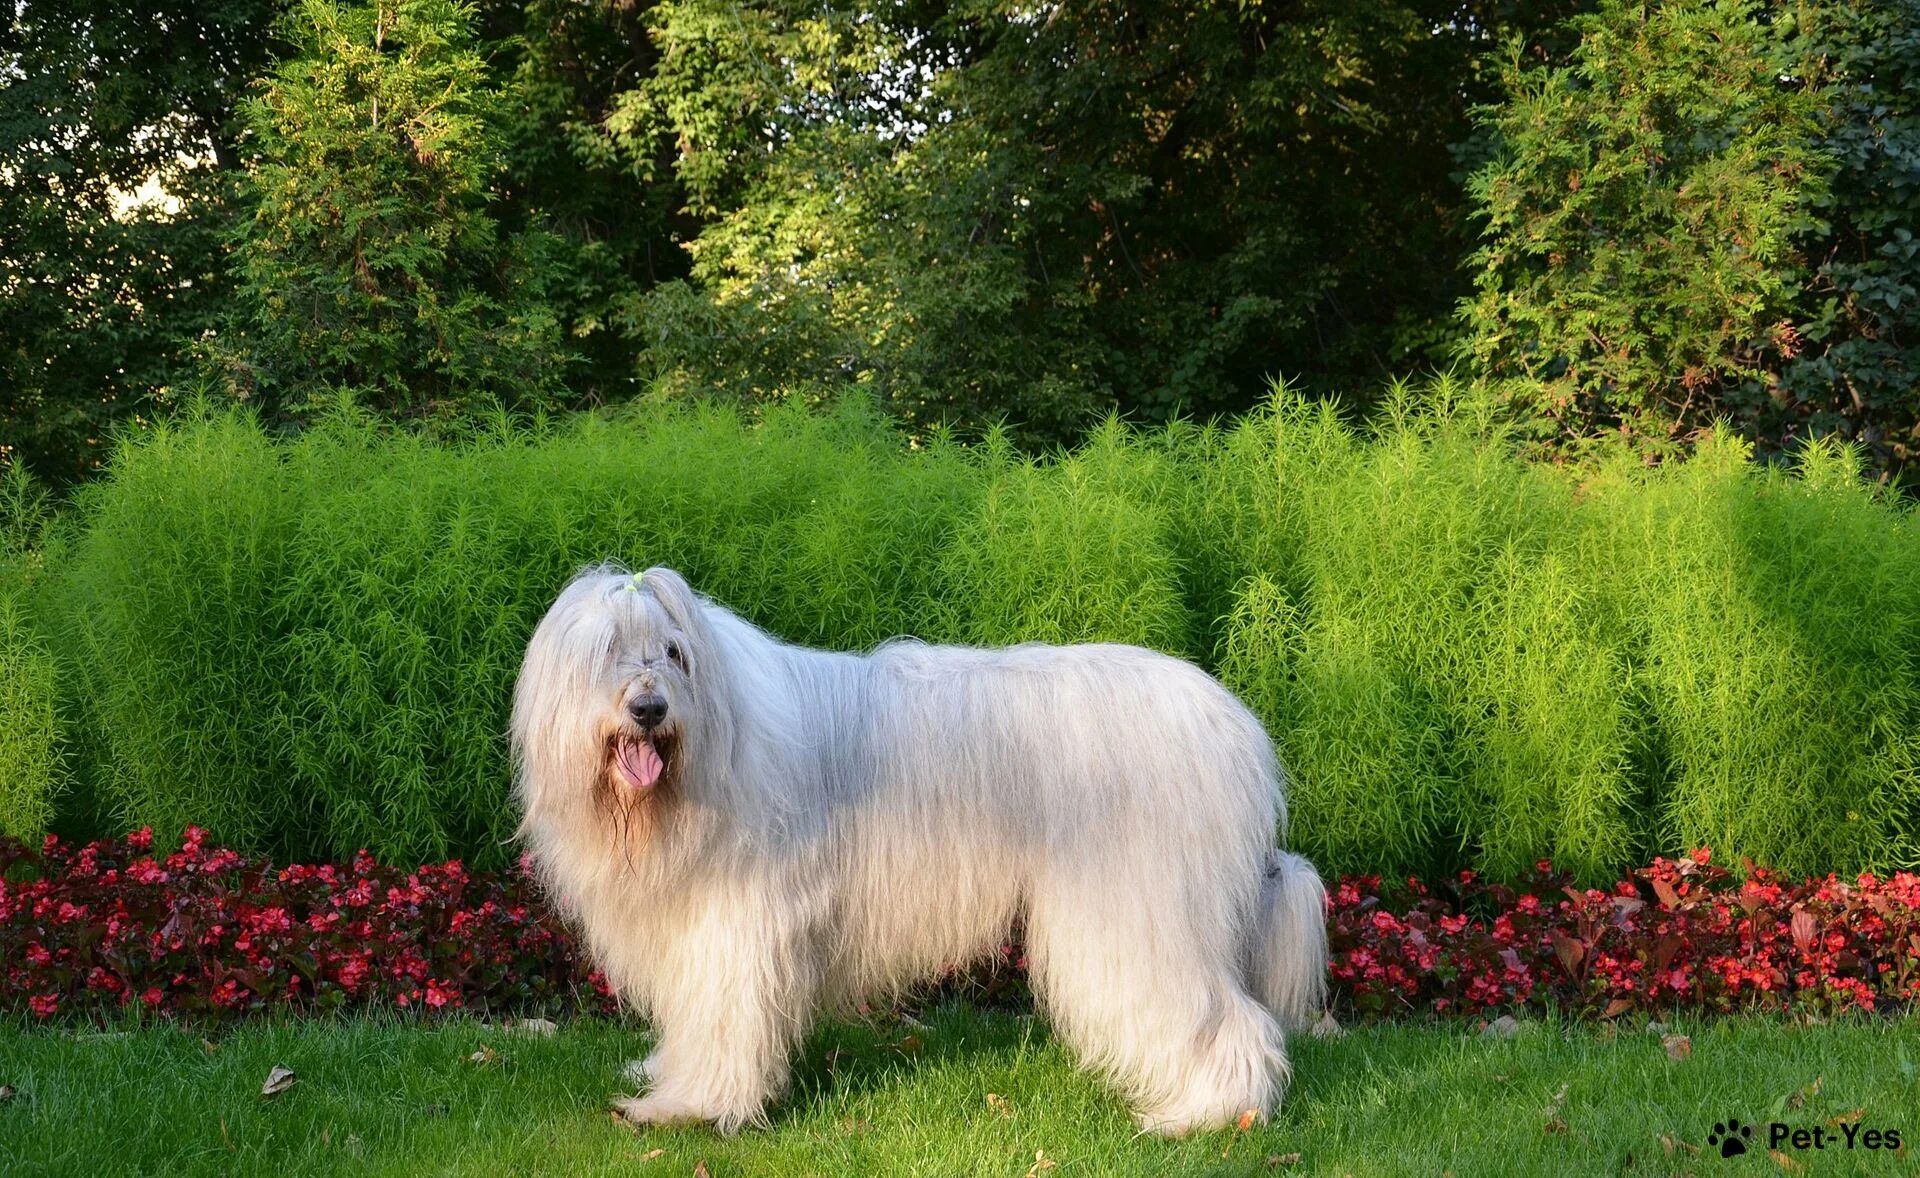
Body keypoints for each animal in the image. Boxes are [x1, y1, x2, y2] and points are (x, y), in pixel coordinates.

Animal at [510, 567, 1328, 1143]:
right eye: (608, 652)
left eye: (675, 652)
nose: (649, 708)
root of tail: (1235, 726)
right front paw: (672, 1087)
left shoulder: (736, 927)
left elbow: (724, 1017)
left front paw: (695, 1108)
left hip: (1142, 907)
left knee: (1221, 1016)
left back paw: (1208, 1116)